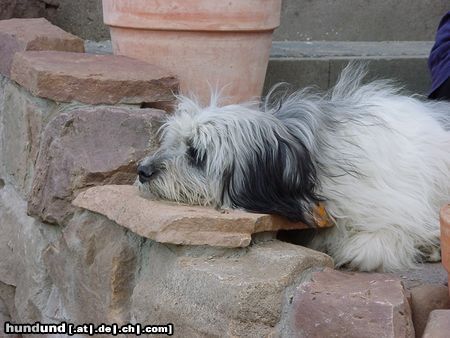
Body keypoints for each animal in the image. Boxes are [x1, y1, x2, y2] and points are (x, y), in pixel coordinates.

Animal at [137, 65, 450, 272]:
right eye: (172, 142)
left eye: (196, 154)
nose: (142, 171)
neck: (302, 160)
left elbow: (386, 234)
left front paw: (356, 250)